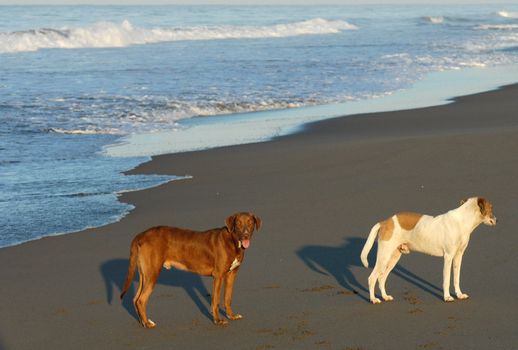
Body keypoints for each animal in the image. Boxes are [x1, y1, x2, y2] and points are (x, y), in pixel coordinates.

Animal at [120, 213, 262, 328]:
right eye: (238, 223)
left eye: (250, 222)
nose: (246, 235)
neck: (233, 241)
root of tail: (141, 235)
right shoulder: (218, 276)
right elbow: (216, 301)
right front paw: (217, 320)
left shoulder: (232, 274)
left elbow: (228, 298)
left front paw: (231, 316)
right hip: (153, 273)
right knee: (141, 300)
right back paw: (148, 323)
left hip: (145, 274)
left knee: (135, 299)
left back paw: (143, 322)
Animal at [364, 197, 498, 304]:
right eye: (491, 207)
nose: (497, 220)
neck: (462, 221)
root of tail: (384, 222)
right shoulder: (448, 257)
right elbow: (446, 279)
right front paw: (447, 297)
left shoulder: (458, 256)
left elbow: (456, 278)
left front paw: (459, 295)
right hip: (384, 257)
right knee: (372, 278)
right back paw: (373, 299)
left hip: (393, 258)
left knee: (381, 278)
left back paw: (385, 297)